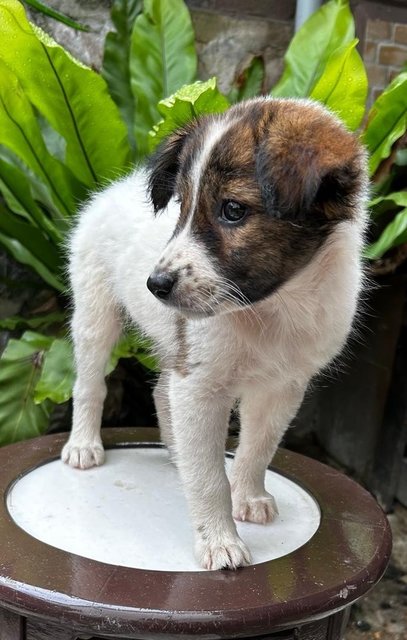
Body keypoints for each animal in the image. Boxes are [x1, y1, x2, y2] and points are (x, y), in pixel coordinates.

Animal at [61, 99, 370, 568]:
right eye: (181, 207)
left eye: (233, 210)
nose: (155, 285)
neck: (274, 308)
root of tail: (113, 190)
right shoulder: (201, 383)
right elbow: (210, 478)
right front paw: (220, 542)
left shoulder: (282, 387)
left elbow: (257, 448)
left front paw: (248, 495)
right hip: (96, 312)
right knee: (89, 384)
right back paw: (83, 444)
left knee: (161, 393)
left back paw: (177, 454)